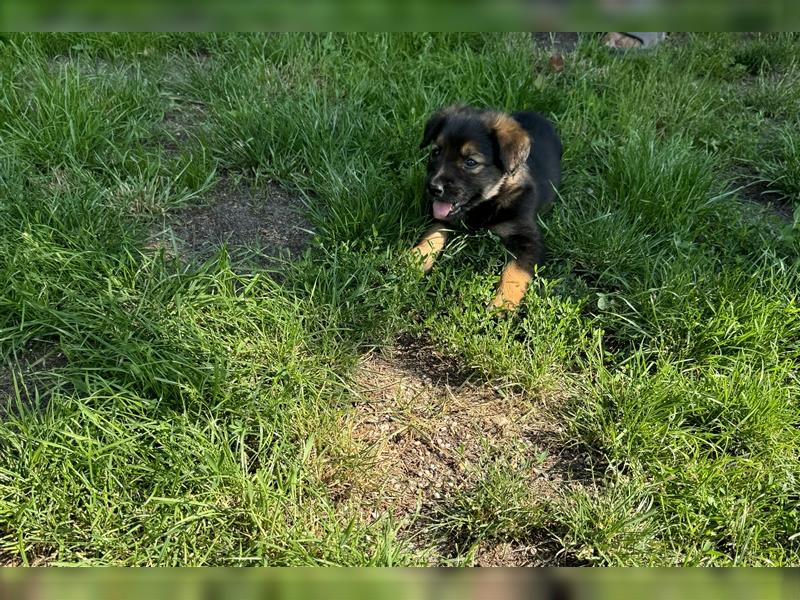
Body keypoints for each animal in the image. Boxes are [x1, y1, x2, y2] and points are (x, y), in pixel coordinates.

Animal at [412, 105, 564, 310]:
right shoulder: (442, 218)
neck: (488, 201)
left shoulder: (528, 239)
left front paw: (502, 306)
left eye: (470, 162)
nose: (433, 188)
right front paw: (414, 259)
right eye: (436, 152)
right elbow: (431, 236)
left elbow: (515, 273)